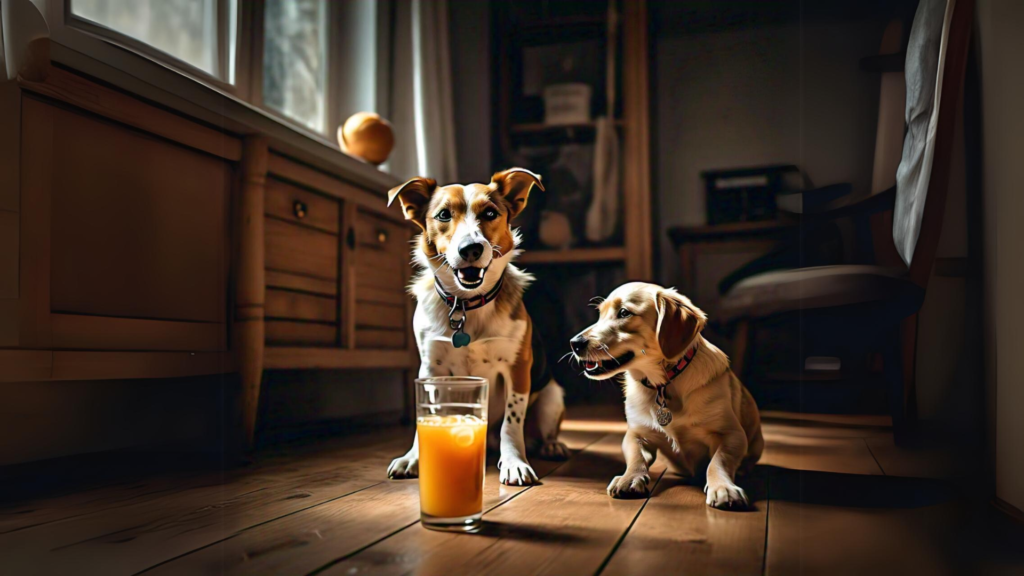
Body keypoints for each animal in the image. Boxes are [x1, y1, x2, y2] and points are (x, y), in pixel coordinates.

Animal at [387, 168, 573, 481]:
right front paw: (413, 457)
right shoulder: (430, 368)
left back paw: (550, 445)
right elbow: (426, 412)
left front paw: (514, 461)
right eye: (443, 215)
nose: (471, 249)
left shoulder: (517, 369)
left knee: (541, 430)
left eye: (489, 213)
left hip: (551, 396)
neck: (466, 304)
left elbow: (511, 422)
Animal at [569, 282, 761, 506]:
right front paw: (629, 478)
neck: (663, 384)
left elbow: (718, 461)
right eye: (600, 314)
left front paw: (724, 487)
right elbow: (635, 457)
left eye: (624, 312)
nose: (574, 343)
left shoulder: (732, 433)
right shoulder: (636, 433)